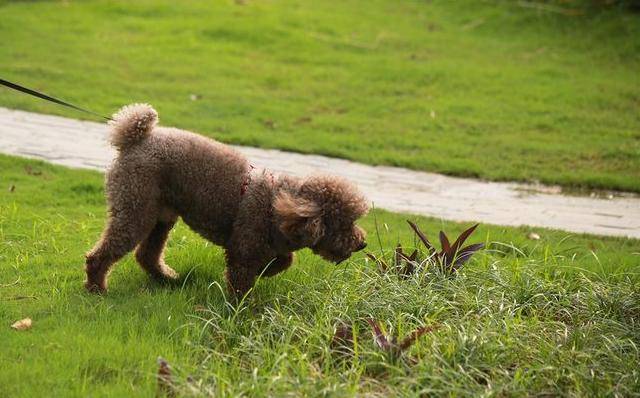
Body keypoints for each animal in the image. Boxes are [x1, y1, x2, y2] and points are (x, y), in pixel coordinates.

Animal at [84, 104, 370, 296]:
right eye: (344, 224)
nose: (362, 244)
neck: (276, 209)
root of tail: (135, 139)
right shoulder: (242, 250)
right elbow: (241, 284)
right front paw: (241, 311)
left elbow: (285, 260)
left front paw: (267, 270)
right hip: (136, 208)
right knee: (102, 255)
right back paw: (96, 288)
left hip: (162, 216)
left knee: (146, 254)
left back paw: (166, 278)